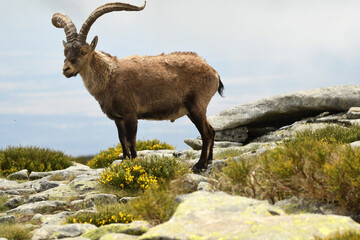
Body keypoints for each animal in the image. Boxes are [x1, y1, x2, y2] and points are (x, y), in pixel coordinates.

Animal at [52, 1, 224, 171]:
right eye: (65, 51)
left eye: (83, 51)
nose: (66, 69)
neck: (109, 76)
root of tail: (214, 72)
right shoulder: (118, 118)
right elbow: (122, 140)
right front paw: (124, 162)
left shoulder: (130, 114)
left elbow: (131, 140)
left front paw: (134, 163)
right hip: (193, 110)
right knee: (212, 130)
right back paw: (209, 160)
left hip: (196, 106)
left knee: (207, 133)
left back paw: (199, 165)